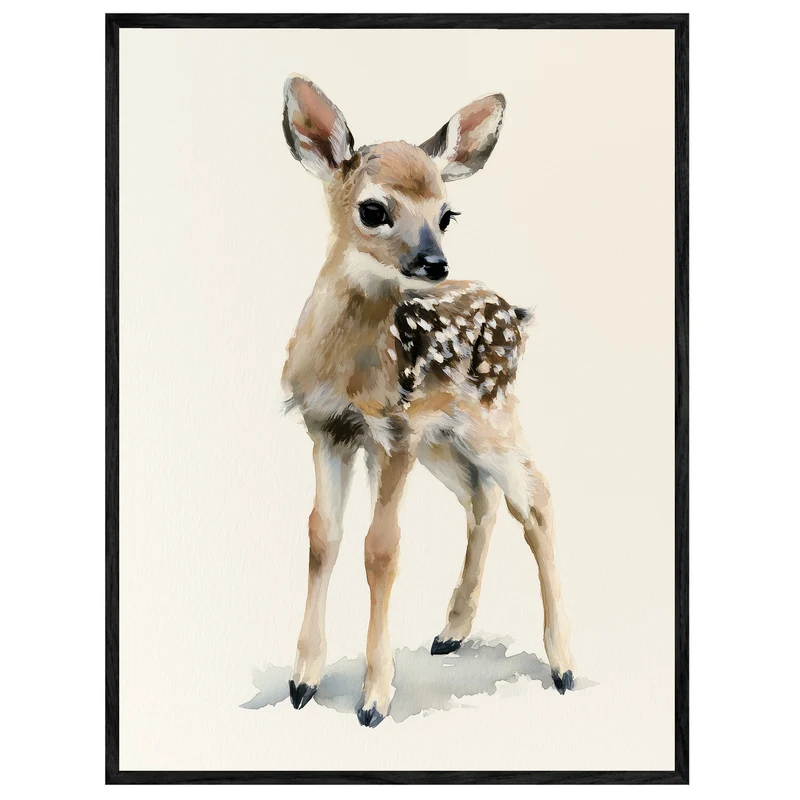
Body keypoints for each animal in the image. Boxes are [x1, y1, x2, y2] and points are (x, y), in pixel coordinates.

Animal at [281, 75, 575, 727]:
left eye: (447, 213)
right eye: (373, 209)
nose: (434, 262)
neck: (347, 368)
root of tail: (514, 313)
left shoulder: (392, 432)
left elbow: (381, 549)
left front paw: (374, 698)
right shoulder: (327, 428)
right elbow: (321, 538)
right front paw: (302, 681)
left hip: (488, 416)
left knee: (535, 498)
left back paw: (564, 665)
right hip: (442, 438)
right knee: (481, 499)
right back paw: (452, 630)